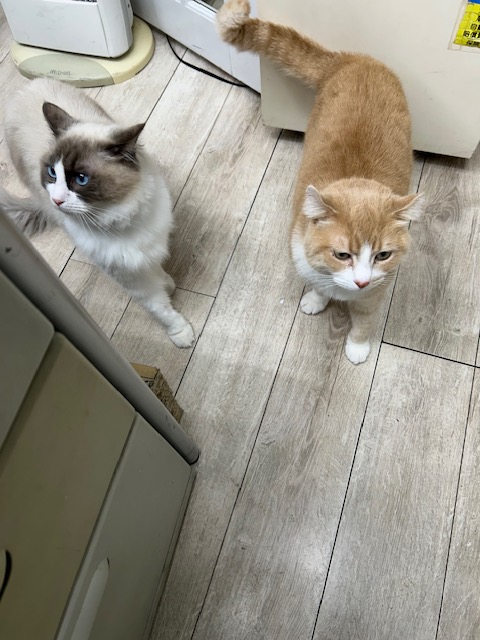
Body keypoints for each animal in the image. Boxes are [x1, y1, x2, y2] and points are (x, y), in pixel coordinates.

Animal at [2, 77, 194, 348]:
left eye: (81, 179)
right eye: (52, 173)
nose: (56, 200)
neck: (119, 215)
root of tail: (26, 88)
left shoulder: (149, 247)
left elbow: (156, 271)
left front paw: (166, 283)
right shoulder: (126, 275)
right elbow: (160, 309)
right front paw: (180, 333)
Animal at [217, 0, 424, 364]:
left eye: (383, 255)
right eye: (342, 255)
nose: (361, 282)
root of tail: (351, 58)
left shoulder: (377, 291)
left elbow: (364, 321)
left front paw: (357, 346)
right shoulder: (303, 255)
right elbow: (316, 282)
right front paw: (316, 298)